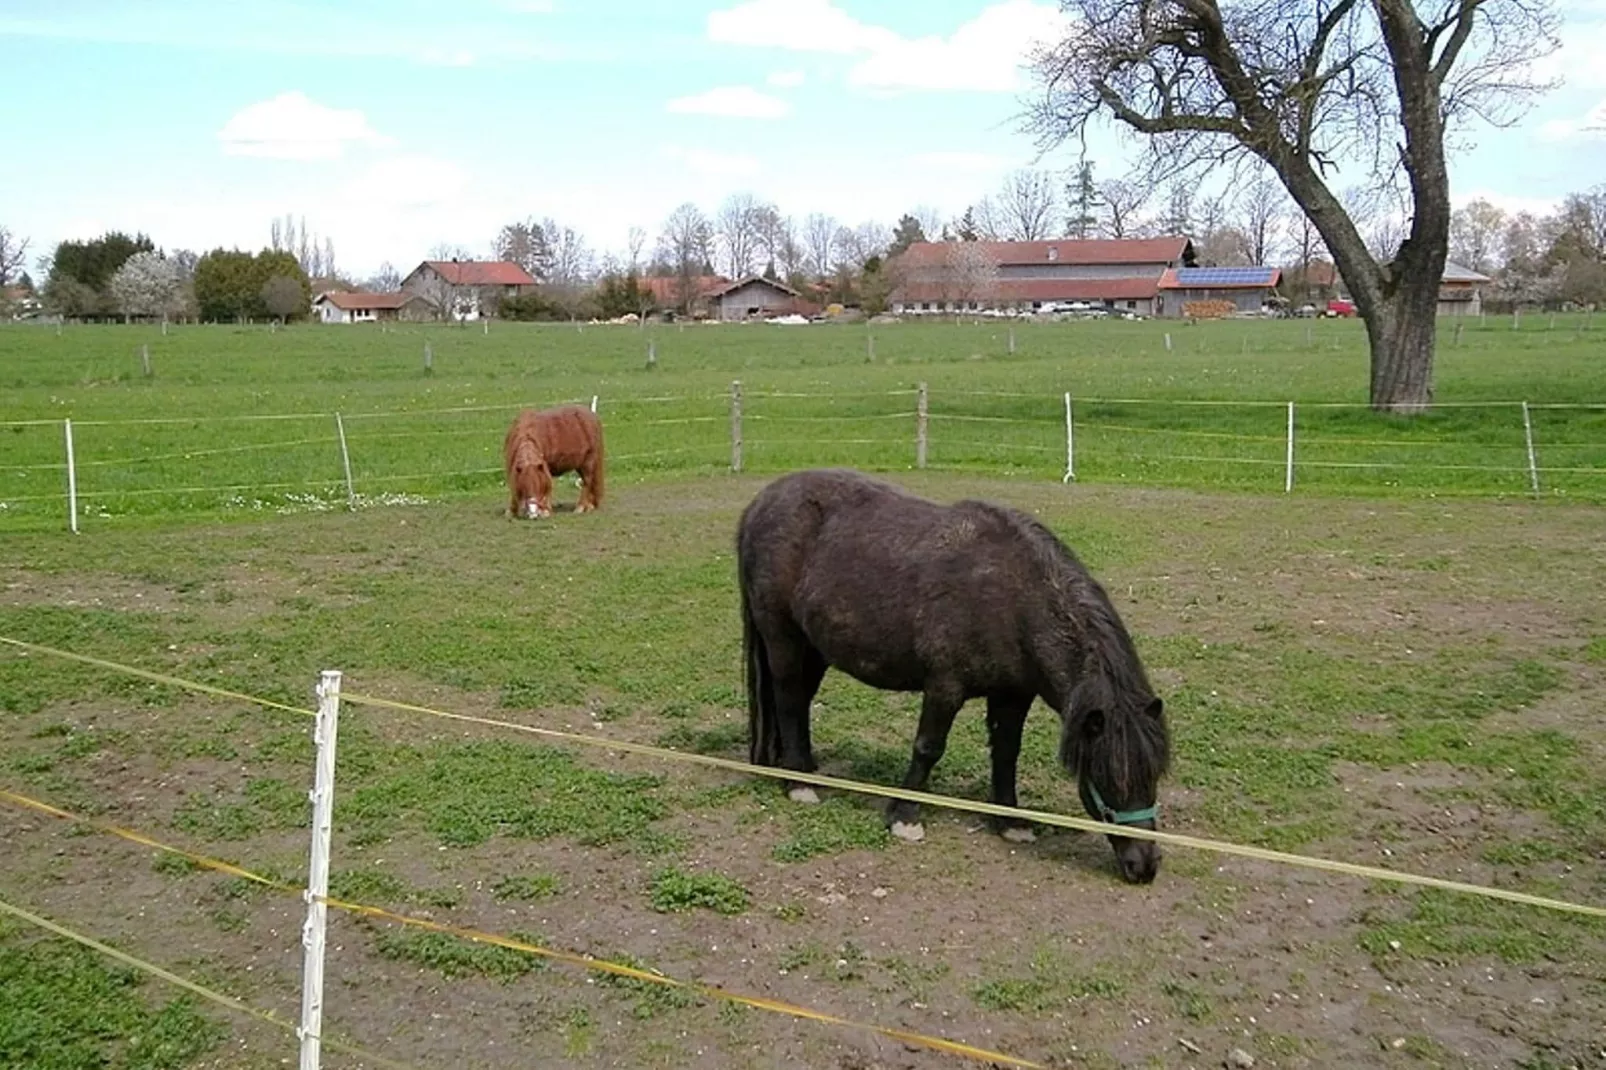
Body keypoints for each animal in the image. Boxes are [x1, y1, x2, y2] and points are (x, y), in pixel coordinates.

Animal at [735, 472, 1169, 880]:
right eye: (1108, 775)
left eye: (1154, 774)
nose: (1144, 865)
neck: (1014, 599)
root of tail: (760, 504)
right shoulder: (944, 686)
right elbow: (928, 748)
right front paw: (905, 816)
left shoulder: (1013, 695)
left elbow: (1006, 753)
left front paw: (1011, 822)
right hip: (783, 638)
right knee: (789, 699)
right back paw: (799, 784)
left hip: (816, 647)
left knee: (800, 703)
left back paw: (802, 768)